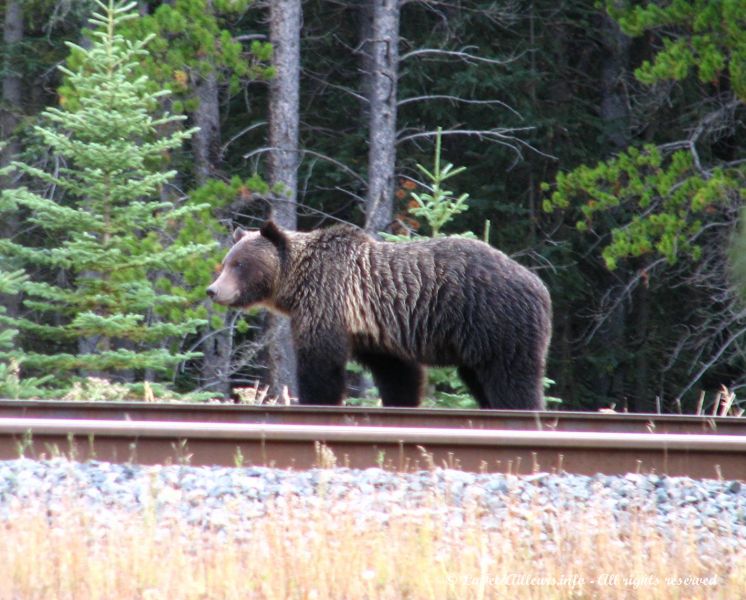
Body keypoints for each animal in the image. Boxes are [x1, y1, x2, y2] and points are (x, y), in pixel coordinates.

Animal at [206, 223, 548, 410]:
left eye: (240, 264)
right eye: (227, 261)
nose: (213, 290)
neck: (296, 285)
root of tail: (538, 283)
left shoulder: (329, 301)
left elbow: (321, 364)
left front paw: (316, 400)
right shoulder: (375, 333)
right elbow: (398, 374)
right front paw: (402, 401)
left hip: (494, 320)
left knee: (512, 376)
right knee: (482, 377)